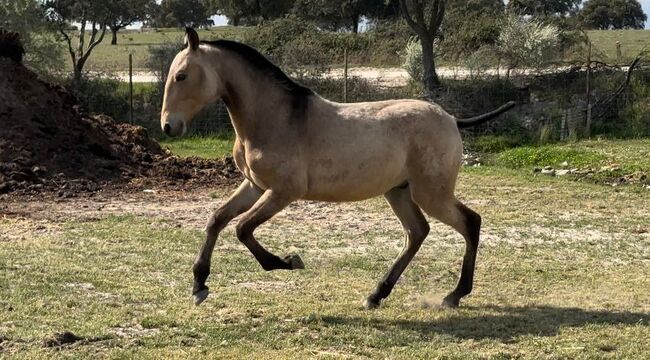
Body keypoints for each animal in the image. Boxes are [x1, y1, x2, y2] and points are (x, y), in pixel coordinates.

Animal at [161, 28, 512, 310]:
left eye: (181, 76)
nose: (168, 126)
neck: (274, 118)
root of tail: (451, 119)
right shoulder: (255, 185)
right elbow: (217, 219)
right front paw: (199, 285)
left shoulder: (283, 192)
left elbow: (242, 228)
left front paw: (289, 262)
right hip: (399, 192)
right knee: (417, 232)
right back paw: (376, 295)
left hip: (431, 193)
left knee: (470, 222)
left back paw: (454, 295)